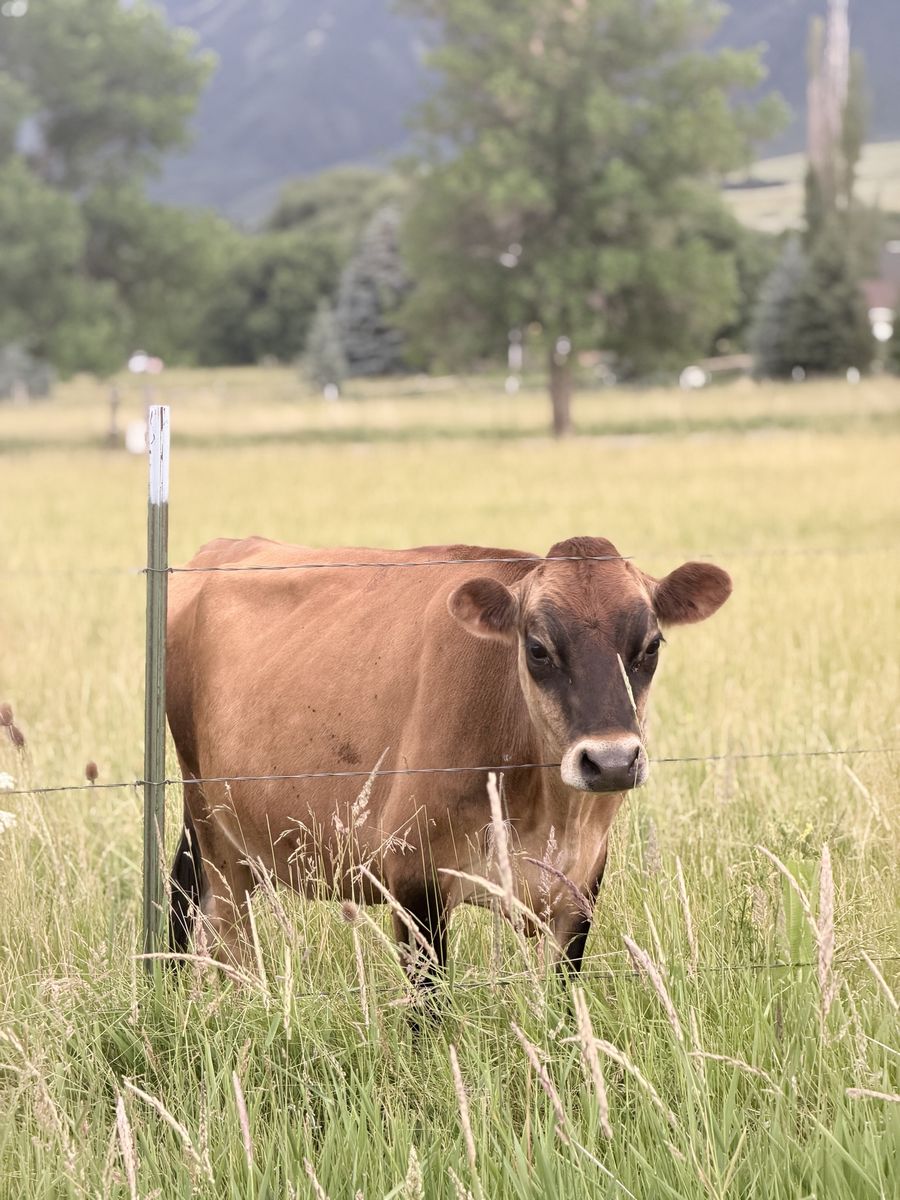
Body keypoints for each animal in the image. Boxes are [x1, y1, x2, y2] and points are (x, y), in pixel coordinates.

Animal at [166, 535, 731, 984]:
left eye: (651, 645)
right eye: (538, 648)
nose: (611, 760)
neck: (548, 811)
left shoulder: (579, 894)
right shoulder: (413, 878)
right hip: (213, 829)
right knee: (223, 934)